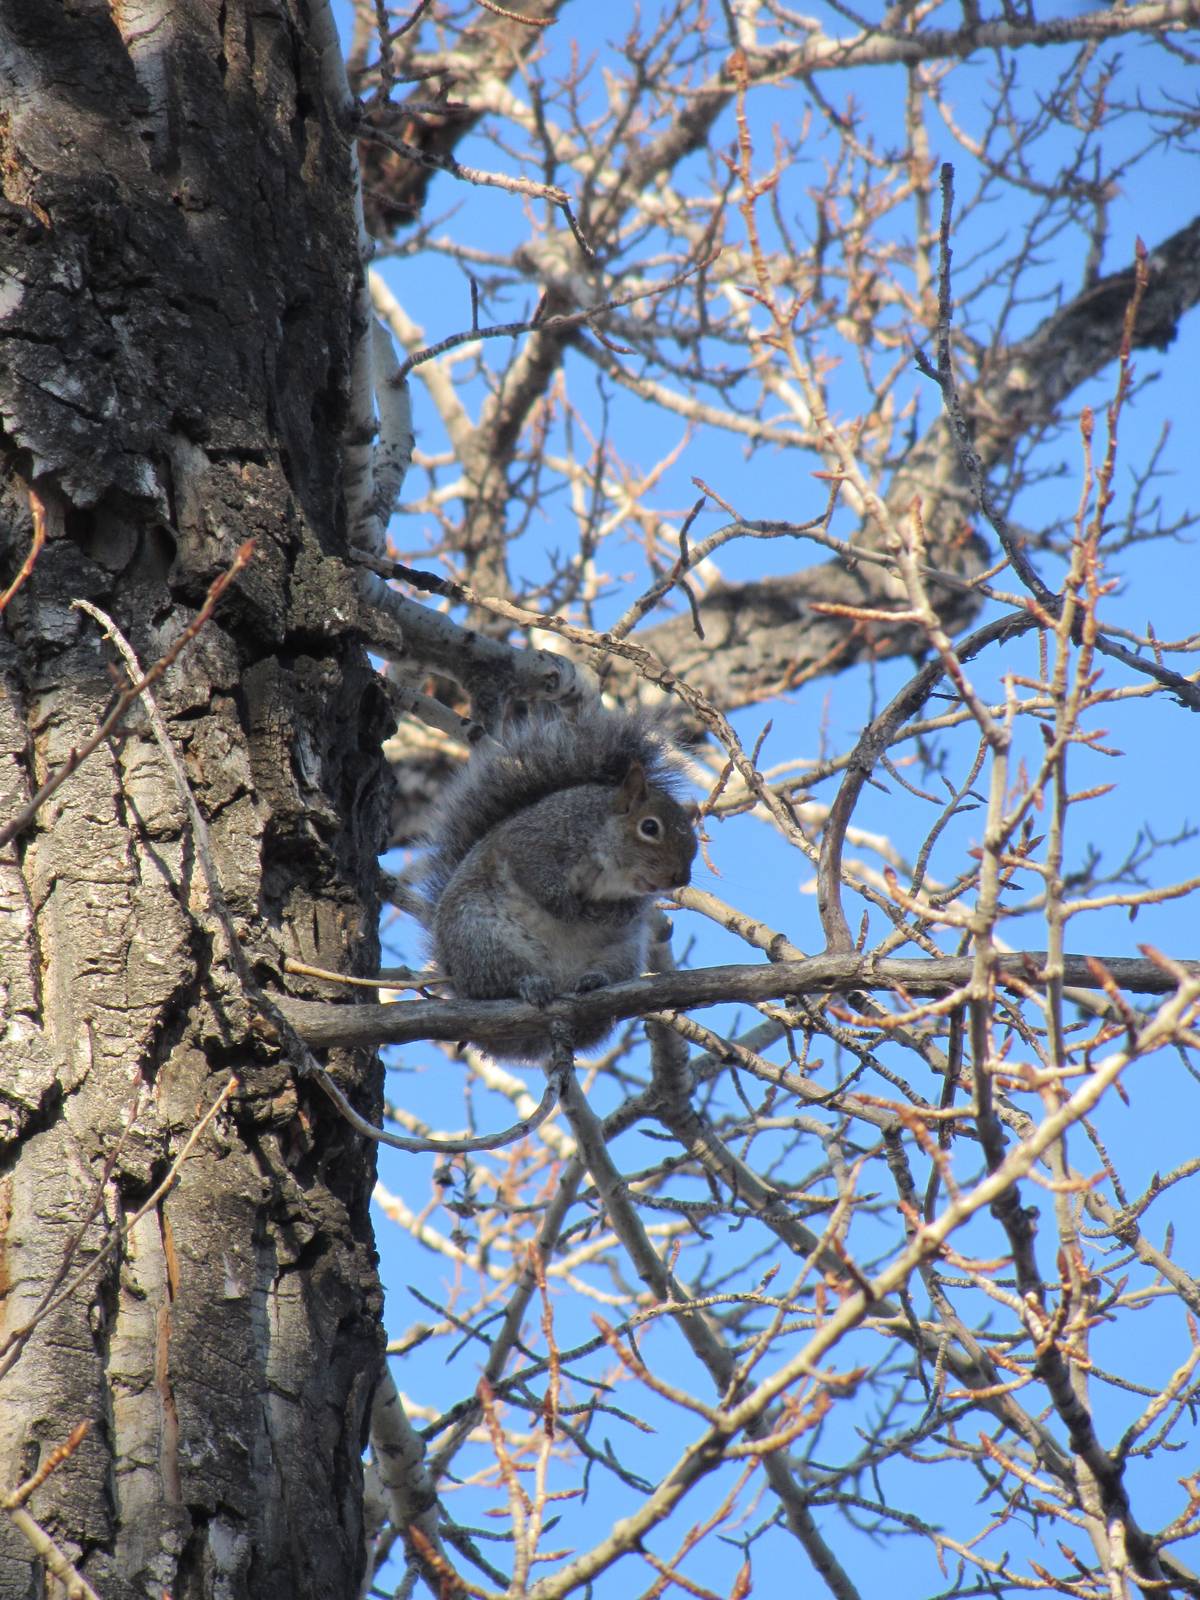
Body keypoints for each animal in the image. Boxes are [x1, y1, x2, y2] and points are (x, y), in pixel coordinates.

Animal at [423, 704, 697, 1061]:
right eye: (649, 827)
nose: (681, 877)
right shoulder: (533, 841)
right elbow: (537, 878)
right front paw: (567, 907)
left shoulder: (637, 899)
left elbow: (630, 910)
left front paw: (602, 914)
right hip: (480, 939)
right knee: (498, 981)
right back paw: (530, 984)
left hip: (622, 953)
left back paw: (595, 981)